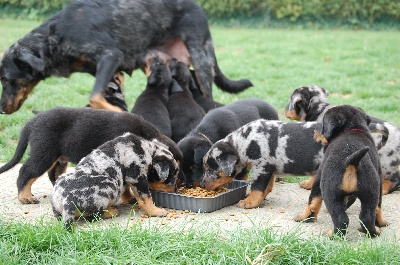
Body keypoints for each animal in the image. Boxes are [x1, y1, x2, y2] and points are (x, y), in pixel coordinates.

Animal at [0, 0, 252, 113]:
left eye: (9, 80)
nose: (2, 110)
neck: (55, 37)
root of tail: (200, 8)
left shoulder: (111, 56)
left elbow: (95, 96)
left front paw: (119, 113)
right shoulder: (107, 70)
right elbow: (104, 94)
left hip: (201, 61)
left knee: (207, 94)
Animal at [0, 106, 183, 203]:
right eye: (172, 175)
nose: (176, 190)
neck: (145, 138)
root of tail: (33, 122)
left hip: (59, 158)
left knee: (54, 174)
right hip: (44, 153)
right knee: (26, 171)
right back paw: (25, 197)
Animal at [52, 133, 180, 230]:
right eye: (173, 177)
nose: (176, 190)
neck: (148, 150)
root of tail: (67, 201)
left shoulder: (128, 179)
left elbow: (128, 190)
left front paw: (131, 199)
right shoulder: (137, 177)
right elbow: (146, 198)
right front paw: (155, 211)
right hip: (110, 185)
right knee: (92, 215)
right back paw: (112, 212)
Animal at [294, 105, 388, 237]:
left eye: (323, 124)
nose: (315, 131)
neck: (354, 129)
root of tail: (352, 160)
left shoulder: (319, 176)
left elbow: (313, 201)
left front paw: (303, 218)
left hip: (330, 192)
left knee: (341, 220)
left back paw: (331, 234)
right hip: (371, 191)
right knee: (368, 216)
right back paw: (374, 231)